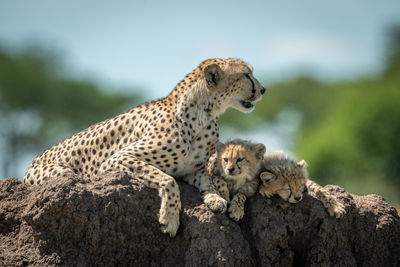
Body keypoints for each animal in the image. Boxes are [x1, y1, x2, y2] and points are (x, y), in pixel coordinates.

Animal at [22, 58, 266, 237]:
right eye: (246, 75)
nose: (263, 90)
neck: (203, 114)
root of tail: (31, 163)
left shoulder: (192, 170)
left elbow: (209, 179)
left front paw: (216, 198)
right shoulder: (116, 159)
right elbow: (168, 180)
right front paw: (170, 219)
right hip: (63, 173)